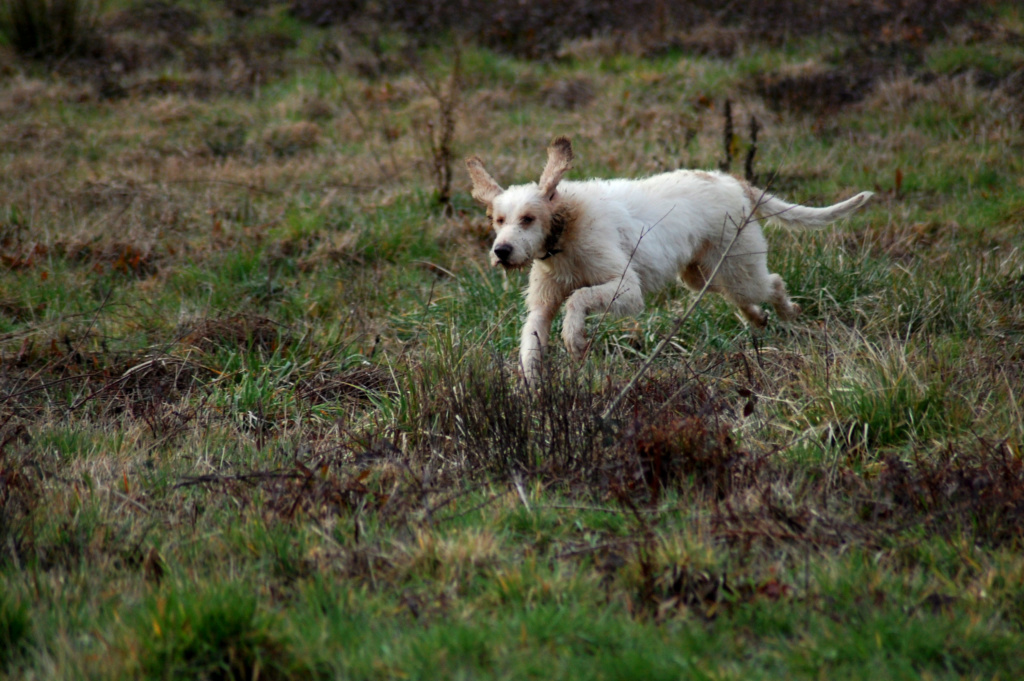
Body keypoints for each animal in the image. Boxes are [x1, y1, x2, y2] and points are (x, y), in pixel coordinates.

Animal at [464, 137, 872, 382]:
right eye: (498, 220)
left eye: (528, 219)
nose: (501, 251)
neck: (565, 228)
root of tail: (733, 182)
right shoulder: (542, 304)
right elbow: (531, 343)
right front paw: (533, 391)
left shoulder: (627, 290)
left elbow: (578, 299)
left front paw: (574, 338)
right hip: (704, 274)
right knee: (739, 296)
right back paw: (758, 319)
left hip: (739, 267)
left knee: (771, 283)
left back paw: (787, 312)